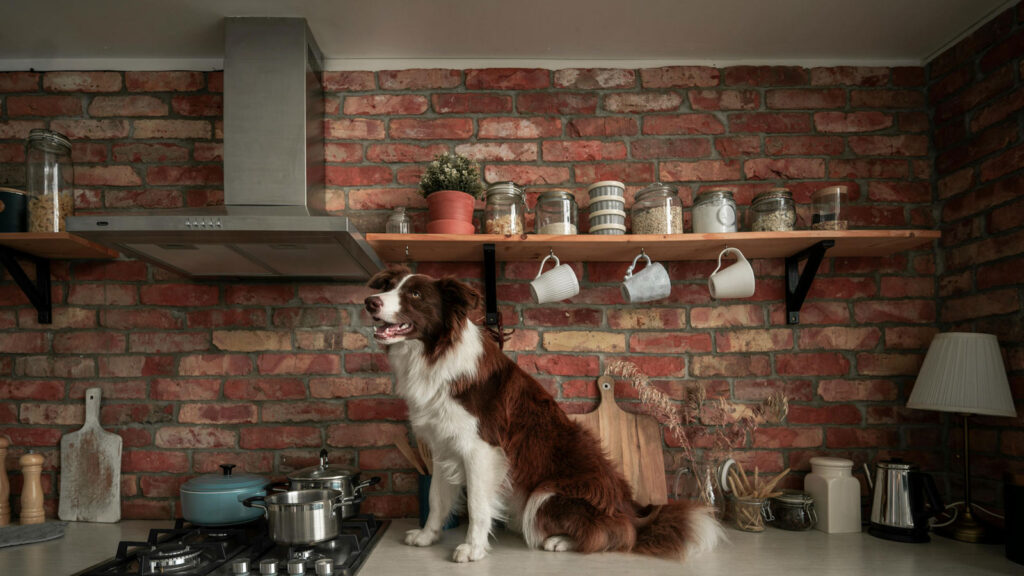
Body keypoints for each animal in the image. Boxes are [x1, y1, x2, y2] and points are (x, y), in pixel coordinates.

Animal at [364, 266, 724, 561]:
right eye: (390, 286)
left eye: (415, 294)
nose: (369, 302)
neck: (433, 353)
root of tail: (631, 512)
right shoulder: (442, 447)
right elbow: (437, 498)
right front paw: (428, 536)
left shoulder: (482, 450)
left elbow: (478, 506)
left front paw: (473, 549)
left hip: (546, 493)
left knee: (614, 535)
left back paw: (561, 541)